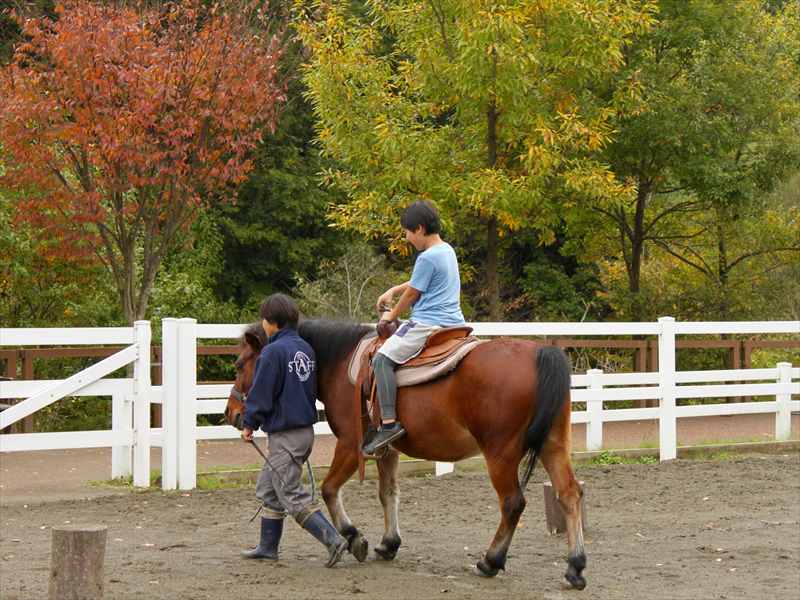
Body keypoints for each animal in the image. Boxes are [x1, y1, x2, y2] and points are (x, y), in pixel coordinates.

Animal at [225, 322, 588, 588]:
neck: (342, 363)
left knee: (513, 503)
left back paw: (490, 561)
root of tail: (539, 352)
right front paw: (388, 543)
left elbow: (329, 490)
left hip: (501, 454)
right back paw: (575, 567)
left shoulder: (350, 445)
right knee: (569, 494)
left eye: (240, 364)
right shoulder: (386, 450)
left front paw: (353, 536)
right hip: (554, 446)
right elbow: (388, 494)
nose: (232, 413)